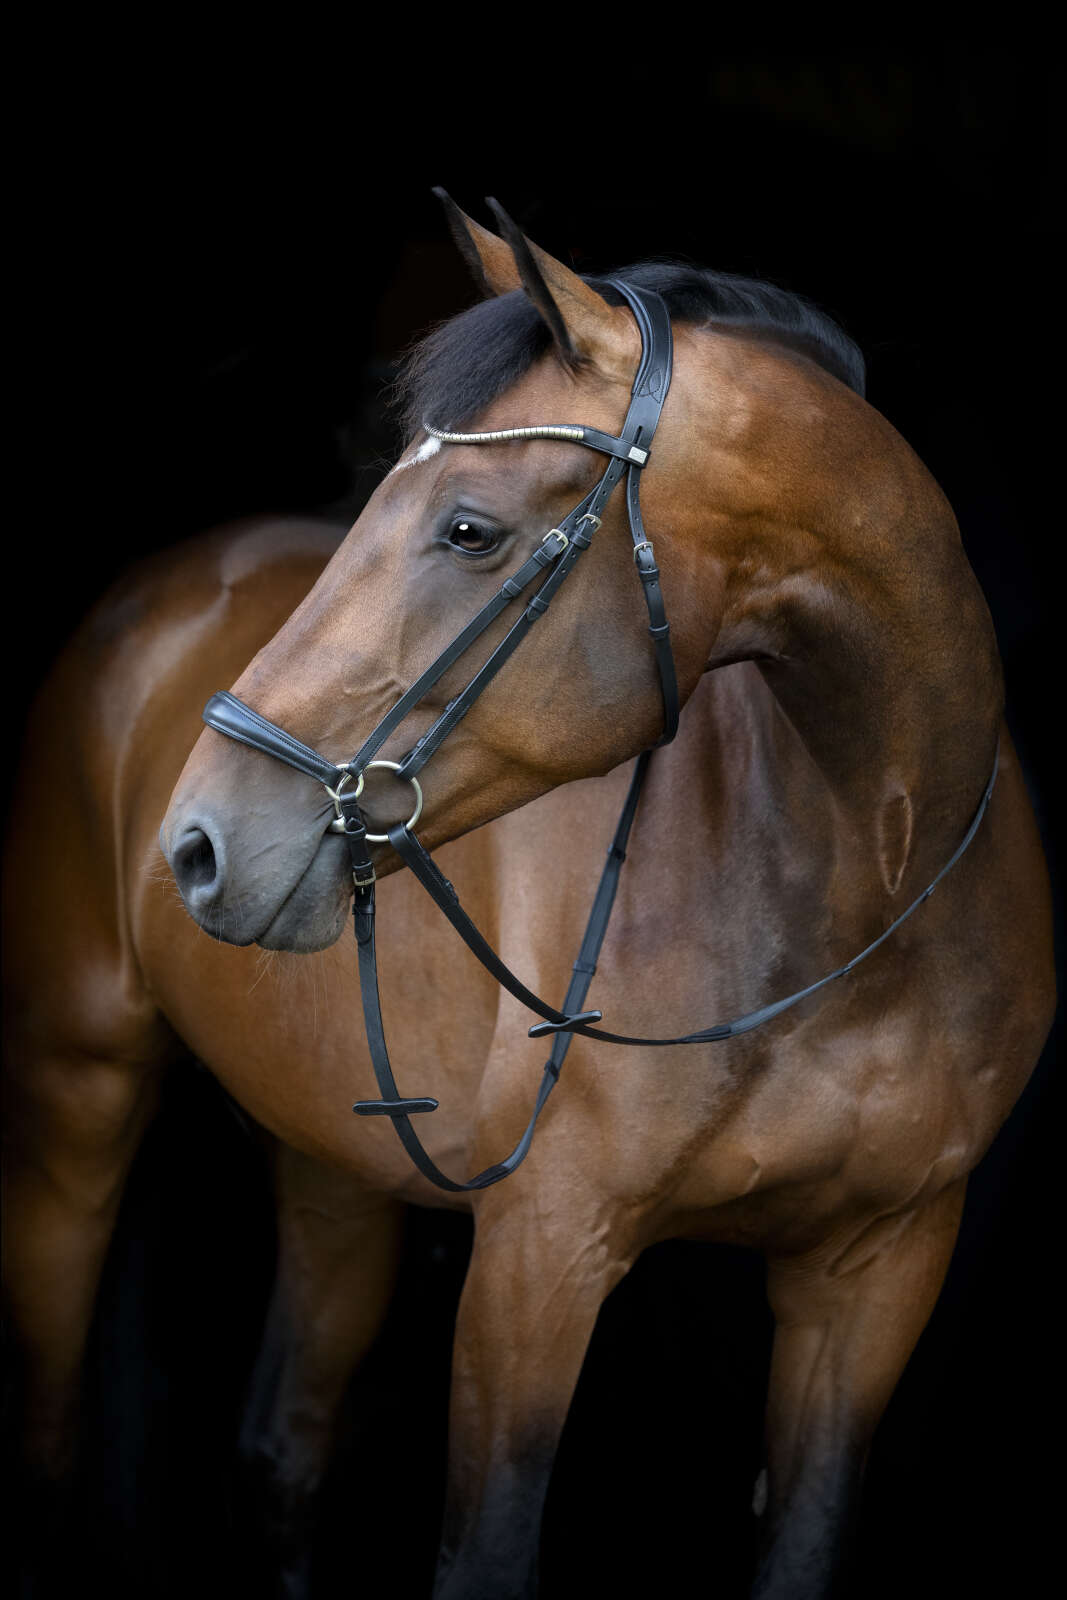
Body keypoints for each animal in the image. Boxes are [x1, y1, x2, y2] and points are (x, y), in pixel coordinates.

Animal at [3, 195, 1054, 1599]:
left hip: (332, 1164)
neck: (854, 880)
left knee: (279, 1450)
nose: (200, 843)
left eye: (469, 529)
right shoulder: (538, 1259)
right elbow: (487, 1552)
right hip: (73, 1093)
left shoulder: (874, 1274)